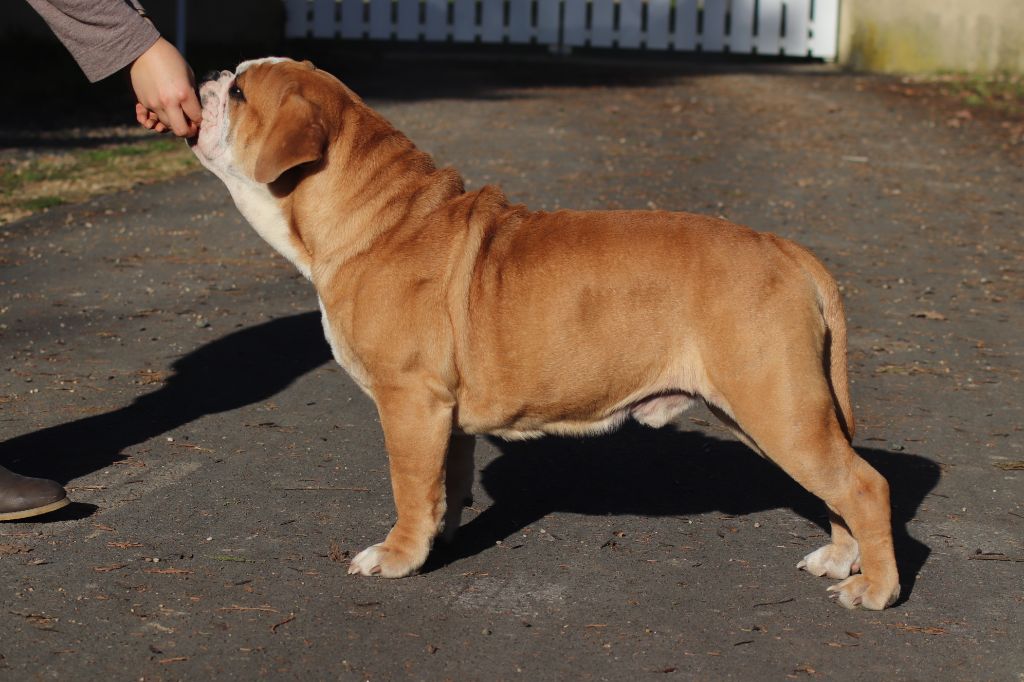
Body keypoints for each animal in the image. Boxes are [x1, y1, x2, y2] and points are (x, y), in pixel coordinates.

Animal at [190, 58, 900, 610]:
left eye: (239, 93)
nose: (209, 75)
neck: (375, 215)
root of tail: (786, 248)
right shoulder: (443, 413)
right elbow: (445, 480)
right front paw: (443, 534)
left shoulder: (410, 402)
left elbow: (408, 486)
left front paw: (398, 556)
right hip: (780, 412)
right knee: (838, 485)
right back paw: (840, 560)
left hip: (777, 406)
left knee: (865, 486)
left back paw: (875, 588)